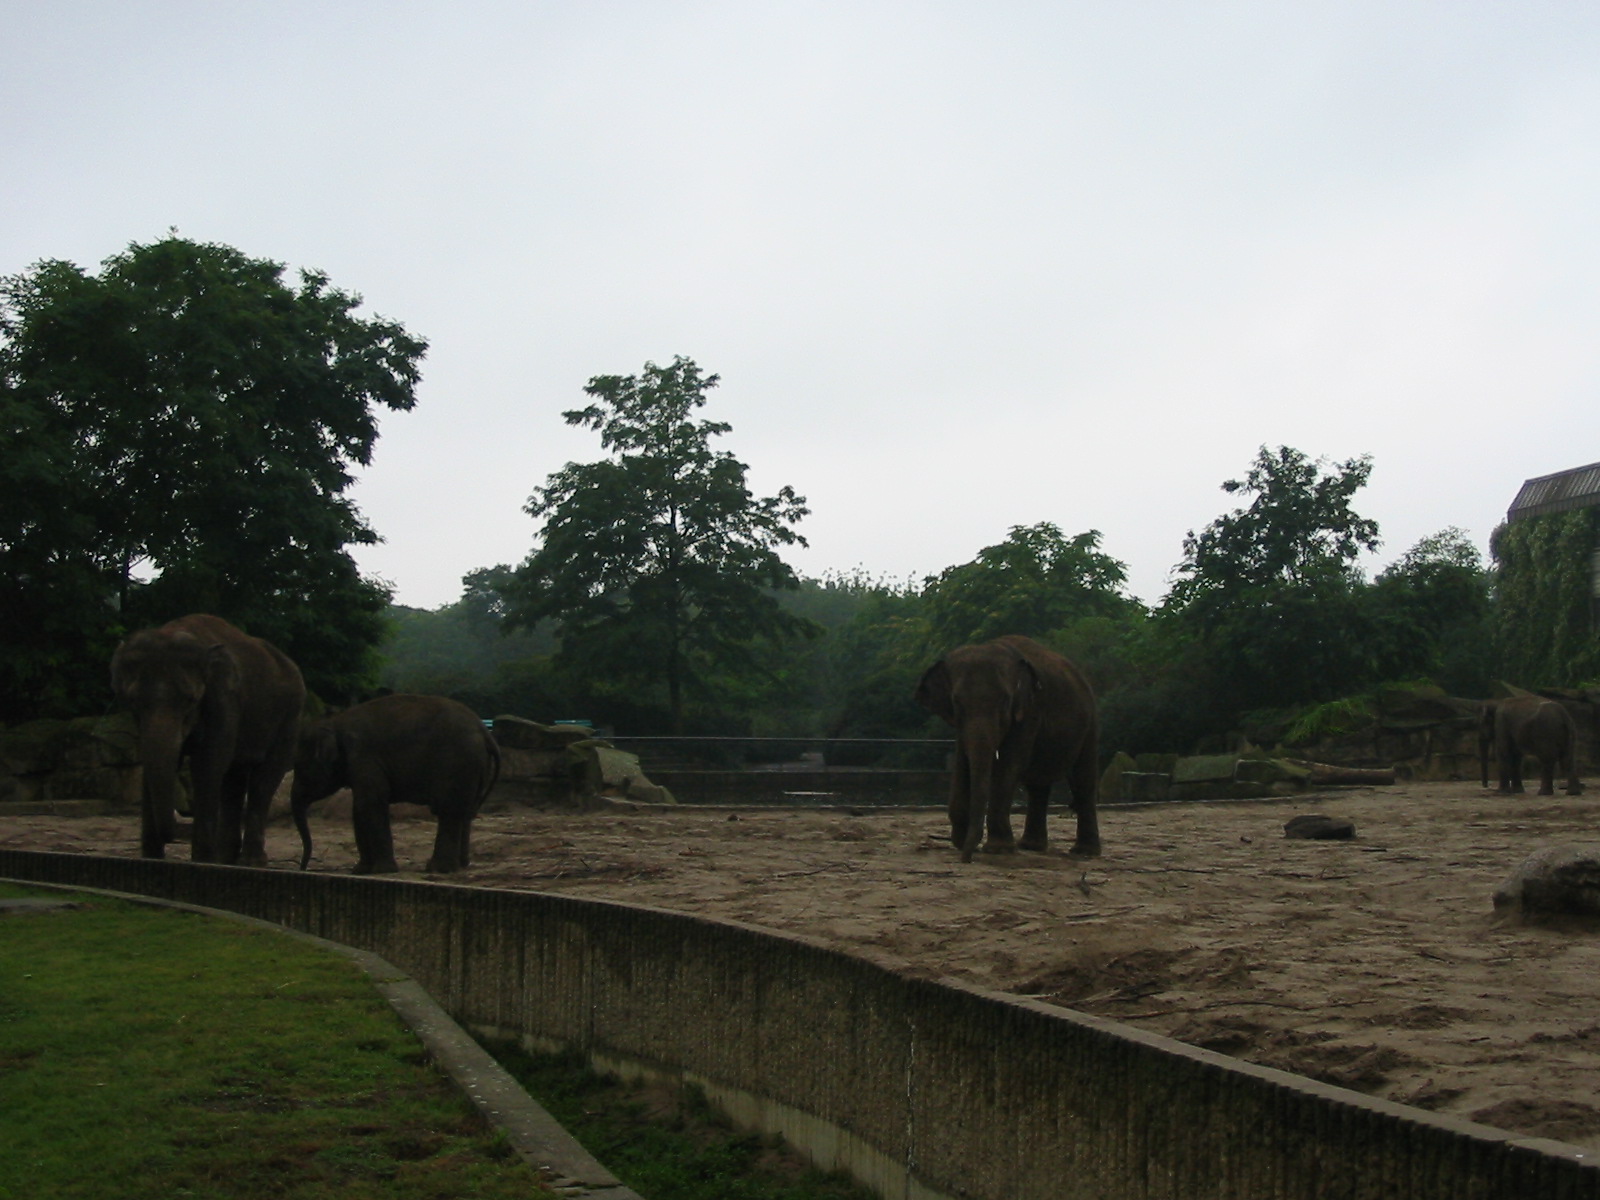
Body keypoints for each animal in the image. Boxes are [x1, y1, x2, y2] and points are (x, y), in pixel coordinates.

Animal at [110, 613, 305, 865]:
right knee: (233, 780)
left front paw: (201, 861)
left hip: (290, 716)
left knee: (264, 778)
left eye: (190, 700)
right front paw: (152, 859)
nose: (170, 837)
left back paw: (249, 862)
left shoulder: (225, 700)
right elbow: (150, 765)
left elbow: (207, 765)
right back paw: (225, 859)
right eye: (133, 701)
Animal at [291, 693, 501, 874]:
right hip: (474, 767)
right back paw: (460, 865)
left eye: (300, 769)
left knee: (449, 810)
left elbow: (371, 802)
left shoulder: (364, 758)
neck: (336, 722)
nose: (303, 868)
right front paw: (360, 870)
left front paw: (382, 870)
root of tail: (485, 732)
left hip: (457, 762)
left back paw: (438, 868)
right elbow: (359, 807)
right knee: (465, 810)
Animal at [915, 634, 1101, 863]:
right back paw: (1031, 846)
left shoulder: (1030, 711)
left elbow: (1008, 764)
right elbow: (962, 764)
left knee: (1083, 780)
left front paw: (998, 849)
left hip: (1090, 724)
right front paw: (962, 839)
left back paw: (1084, 852)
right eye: (956, 701)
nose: (967, 858)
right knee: (1037, 786)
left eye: (1005, 700)